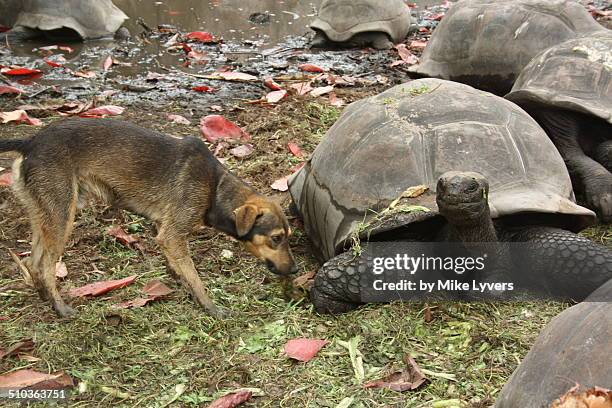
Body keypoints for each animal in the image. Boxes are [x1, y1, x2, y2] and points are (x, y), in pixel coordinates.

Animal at [0, 118, 296, 318]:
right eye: (276, 238)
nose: (294, 270)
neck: (216, 188)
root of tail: (31, 141)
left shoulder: (164, 230)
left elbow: (179, 267)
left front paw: (182, 285)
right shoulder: (173, 233)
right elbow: (196, 277)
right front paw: (210, 307)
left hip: (44, 213)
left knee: (32, 261)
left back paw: (44, 298)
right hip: (62, 215)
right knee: (45, 265)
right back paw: (60, 307)